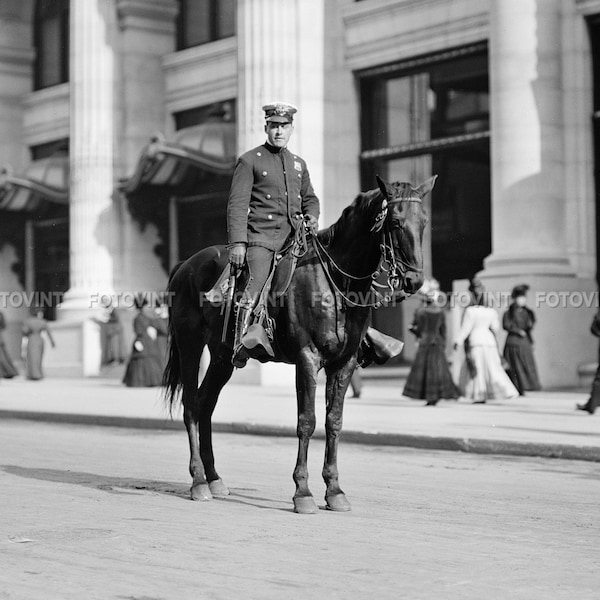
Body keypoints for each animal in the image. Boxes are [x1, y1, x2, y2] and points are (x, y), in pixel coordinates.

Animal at [164, 176, 434, 512]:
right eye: (396, 222)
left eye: (424, 222)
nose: (414, 281)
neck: (335, 281)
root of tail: (185, 265)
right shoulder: (307, 359)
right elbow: (307, 421)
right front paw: (303, 492)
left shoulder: (343, 364)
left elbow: (334, 422)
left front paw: (334, 490)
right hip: (190, 344)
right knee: (191, 405)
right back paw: (199, 481)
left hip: (222, 357)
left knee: (205, 404)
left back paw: (214, 478)